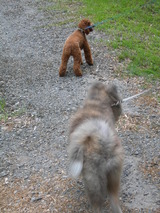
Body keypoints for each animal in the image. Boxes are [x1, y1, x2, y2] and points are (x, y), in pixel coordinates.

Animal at [67, 82, 124, 212]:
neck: (97, 103)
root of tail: (103, 141)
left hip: (92, 182)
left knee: (96, 206)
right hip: (114, 177)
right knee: (115, 203)